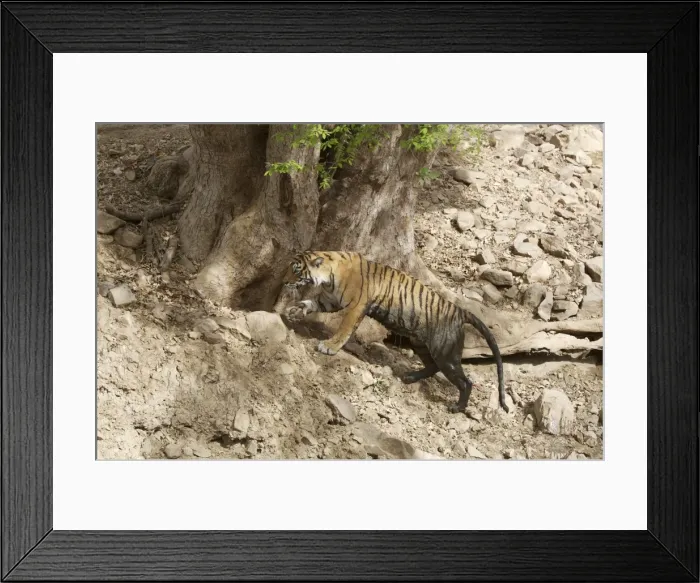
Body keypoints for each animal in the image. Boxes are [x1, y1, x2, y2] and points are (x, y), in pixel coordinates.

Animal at [276, 250, 508, 414]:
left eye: (295, 270)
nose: (284, 281)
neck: (329, 276)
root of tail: (460, 311)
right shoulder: (329, 301)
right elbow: (311, 303)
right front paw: (295, 310)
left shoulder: (355, 307)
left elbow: (343, 329)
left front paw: (329, 346)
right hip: (420, 343)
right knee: (432, 366)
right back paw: (411, 377)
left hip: (446, 354)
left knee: (465, 382)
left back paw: (457, 407)